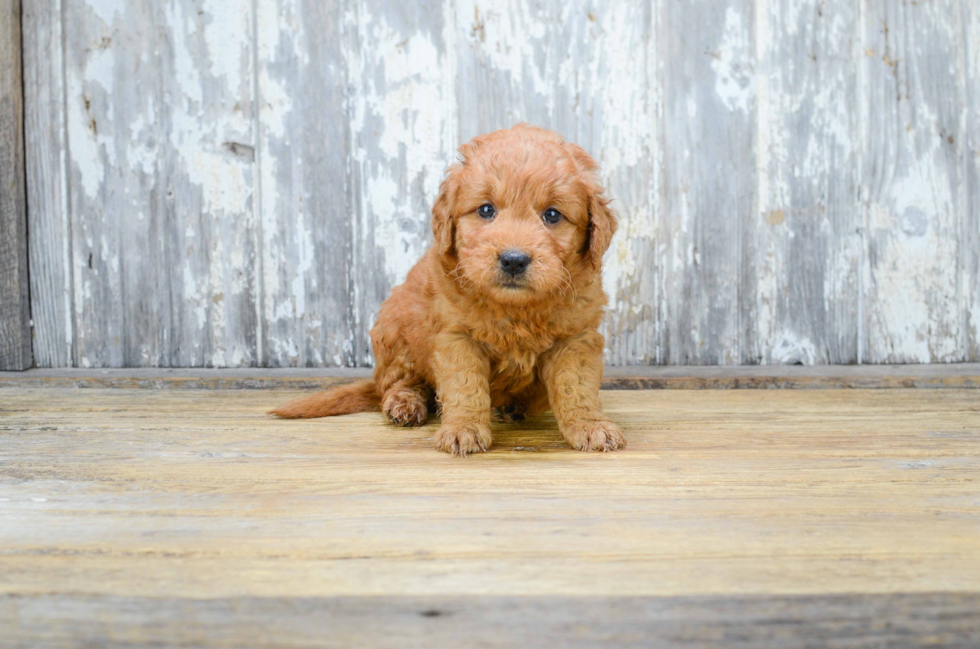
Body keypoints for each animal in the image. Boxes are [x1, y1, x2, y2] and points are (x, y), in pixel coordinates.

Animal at [274, 123, 628, 456]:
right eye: (486, 210)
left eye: (552, 215)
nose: (514, 260)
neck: (515, 309)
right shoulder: (456, 337)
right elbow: (465, 386)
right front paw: (464, 429)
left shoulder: (576, 338)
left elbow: (576, 388)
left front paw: (590, 426)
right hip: (394, 330)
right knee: (397, 383)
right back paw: (406, 403)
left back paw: (514, 406)